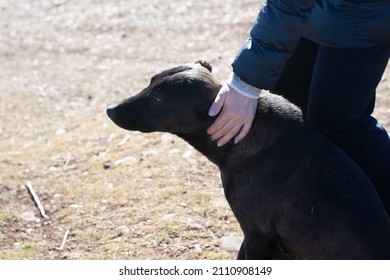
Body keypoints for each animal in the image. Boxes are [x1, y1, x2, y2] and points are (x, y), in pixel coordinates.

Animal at [106, 60, 390, 260]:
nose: (110, 108)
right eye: (150, 82)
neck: (244, 137)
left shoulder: (257, 233)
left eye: (157, 98)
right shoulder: (253, 234)